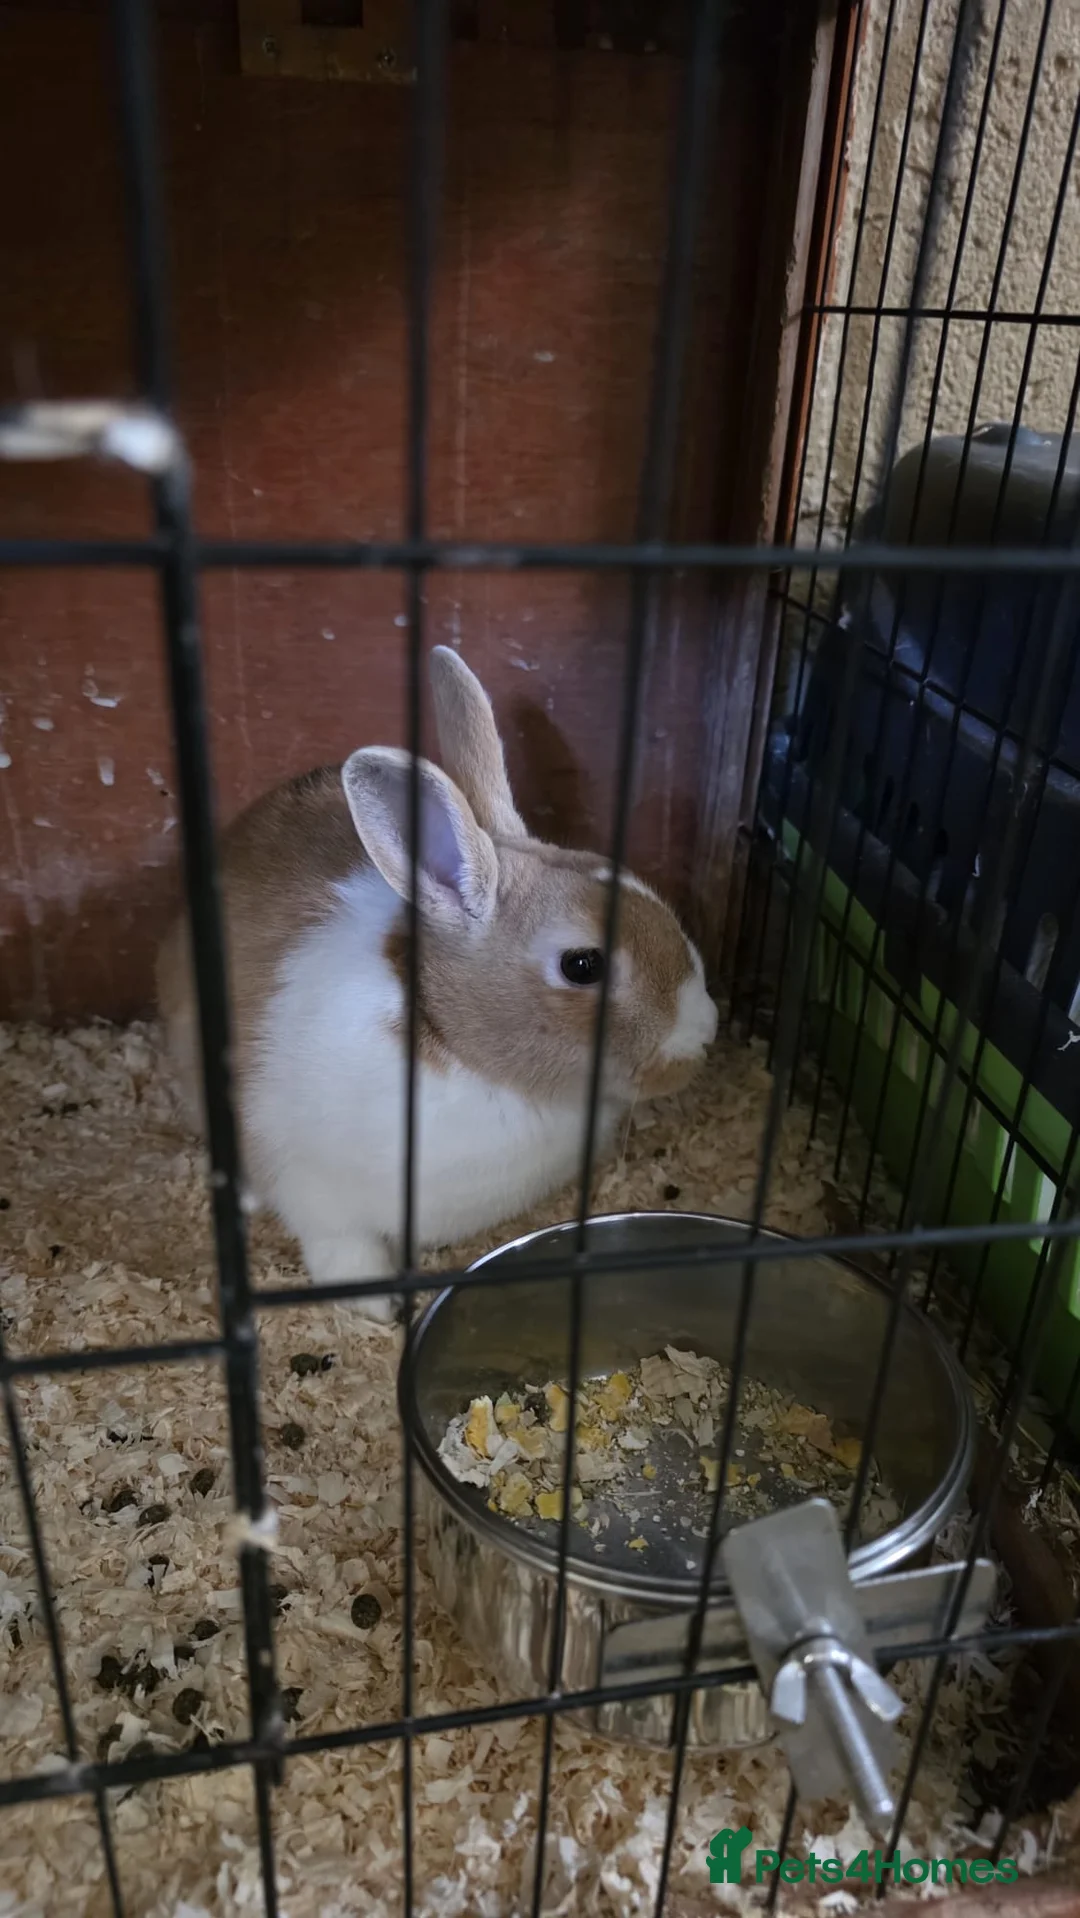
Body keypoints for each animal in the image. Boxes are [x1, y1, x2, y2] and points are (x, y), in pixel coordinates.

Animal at [156, 646, 718, 1321]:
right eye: (583, 965)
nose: (705, 1032)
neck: (458, 1046)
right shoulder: (317, 1197)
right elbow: (345, 1253)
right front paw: (379, 1309)